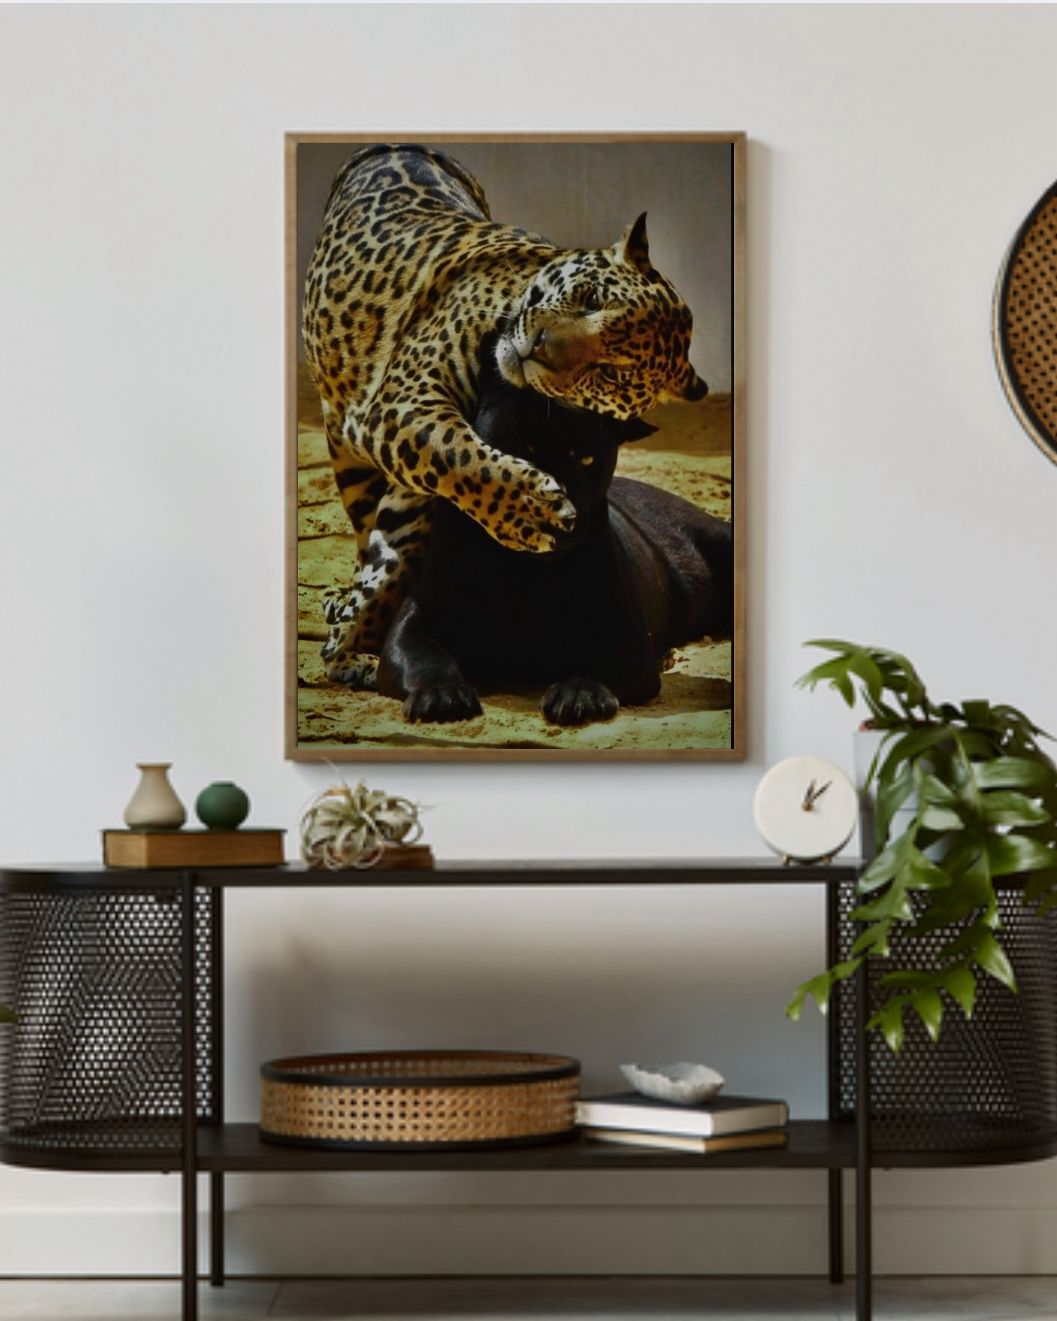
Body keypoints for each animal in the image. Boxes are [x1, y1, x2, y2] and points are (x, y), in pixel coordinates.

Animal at [302, 143, 708, 688]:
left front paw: (359, 645)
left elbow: (403, 551)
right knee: (365, 524)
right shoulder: (405, 402)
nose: (540, 347)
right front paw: (534, 512)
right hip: (347, 454)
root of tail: (399, 145)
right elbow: (458, 454)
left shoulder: (413, 483)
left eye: (611, 373)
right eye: (591, 299)